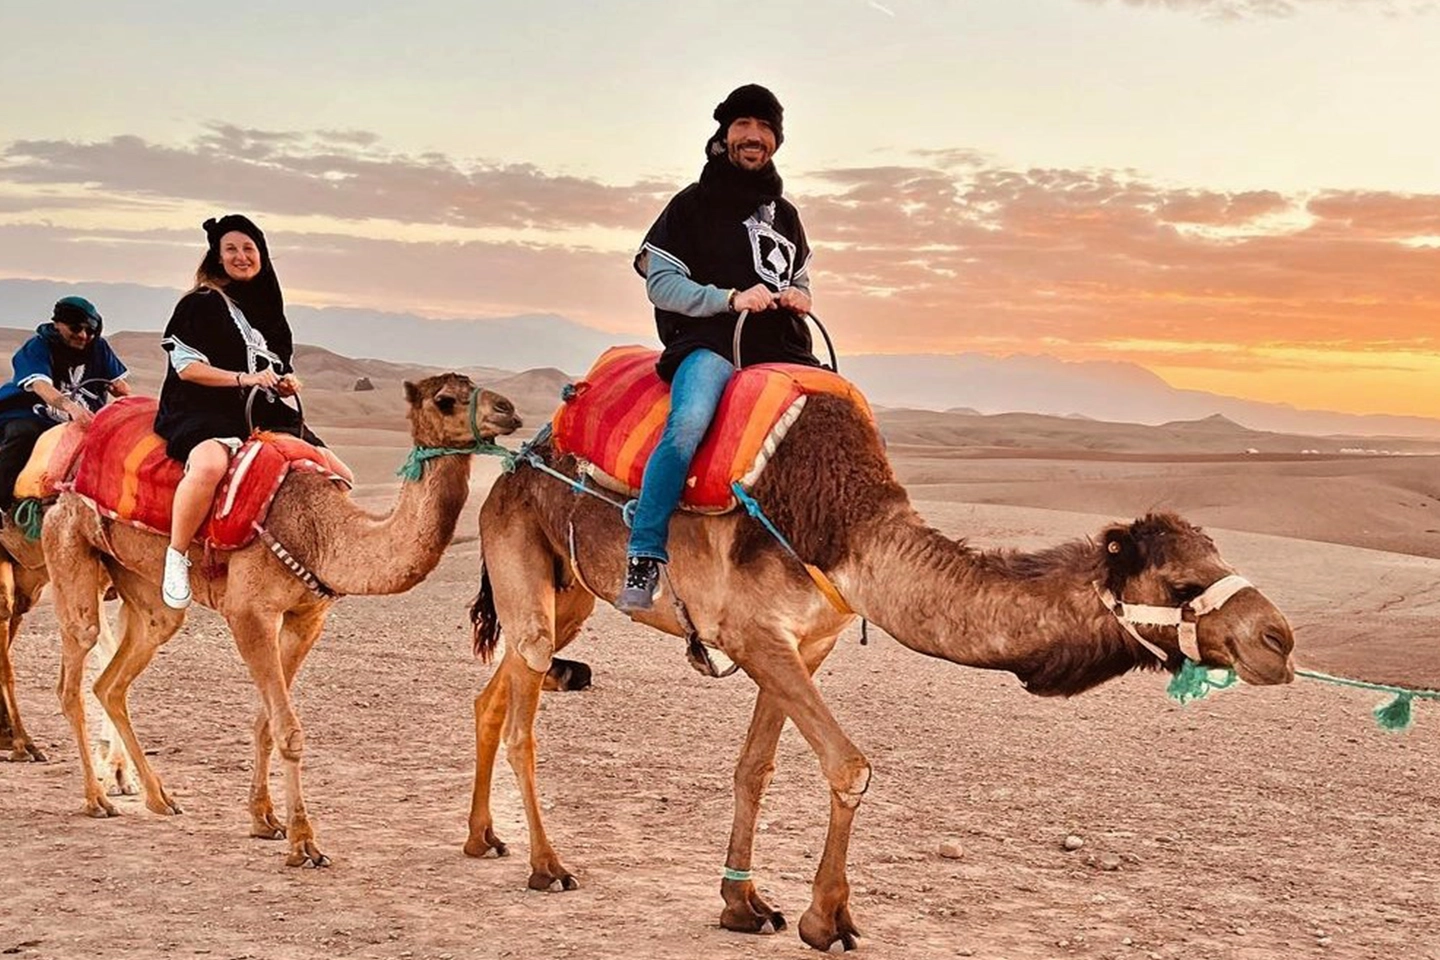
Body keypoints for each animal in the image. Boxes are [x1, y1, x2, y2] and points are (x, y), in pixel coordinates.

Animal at [40, 371, 524, 869]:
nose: (508, 410)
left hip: (146, 592)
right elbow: (288, 728)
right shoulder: (248, 613)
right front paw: (303, 843)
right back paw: (97, 798)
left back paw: (159, 797)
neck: (321, 532)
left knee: (114, 680)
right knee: (74, 673)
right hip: (69, 544)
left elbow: (265, 721)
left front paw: (264, 819)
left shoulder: (306, 616)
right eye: (445, 400)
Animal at [466, 391, 1301, 955]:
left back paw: (483, 840)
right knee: (524, 711)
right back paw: (547, 866)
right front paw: (827, 919)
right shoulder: (754, 633)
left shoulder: (807, 643)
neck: (850, 533)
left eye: (1216, 556)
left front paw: (745, 907)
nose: (1279, 639)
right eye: (1184, 585)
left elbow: (755, 766)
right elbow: (849, 765)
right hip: (524, 563)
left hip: (572, 589)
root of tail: (512, 469)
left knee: (493, 696)